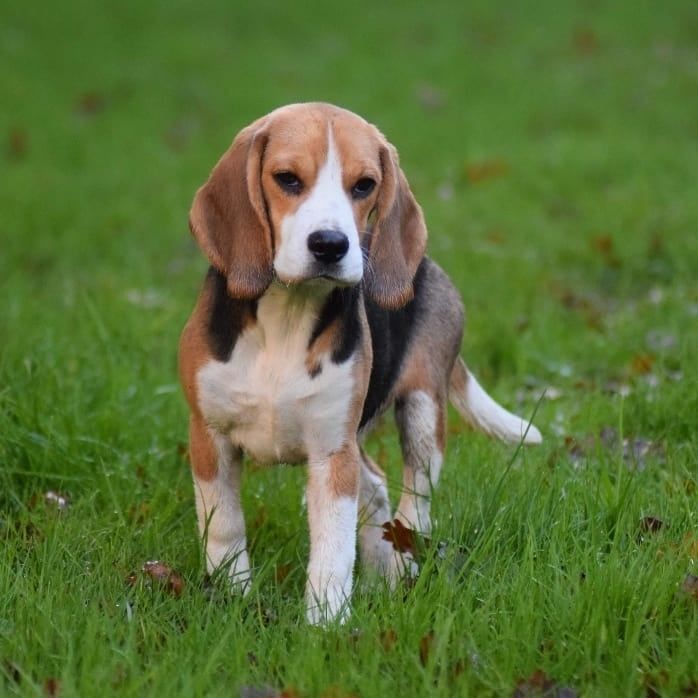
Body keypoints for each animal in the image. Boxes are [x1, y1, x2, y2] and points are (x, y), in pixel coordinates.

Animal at [178, 103, 540, 624]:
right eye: (287, 179)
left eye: (364, 185)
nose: (330, 244)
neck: (287, 318)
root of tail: (425, 265)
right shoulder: (209, 437)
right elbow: (224, 525)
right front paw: (233, 594)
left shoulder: (333, 451)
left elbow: (333, 548)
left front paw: (326, 623)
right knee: (375, 487)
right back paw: (382, 574)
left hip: (422, 412)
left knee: (413, 499)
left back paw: (401, 568)